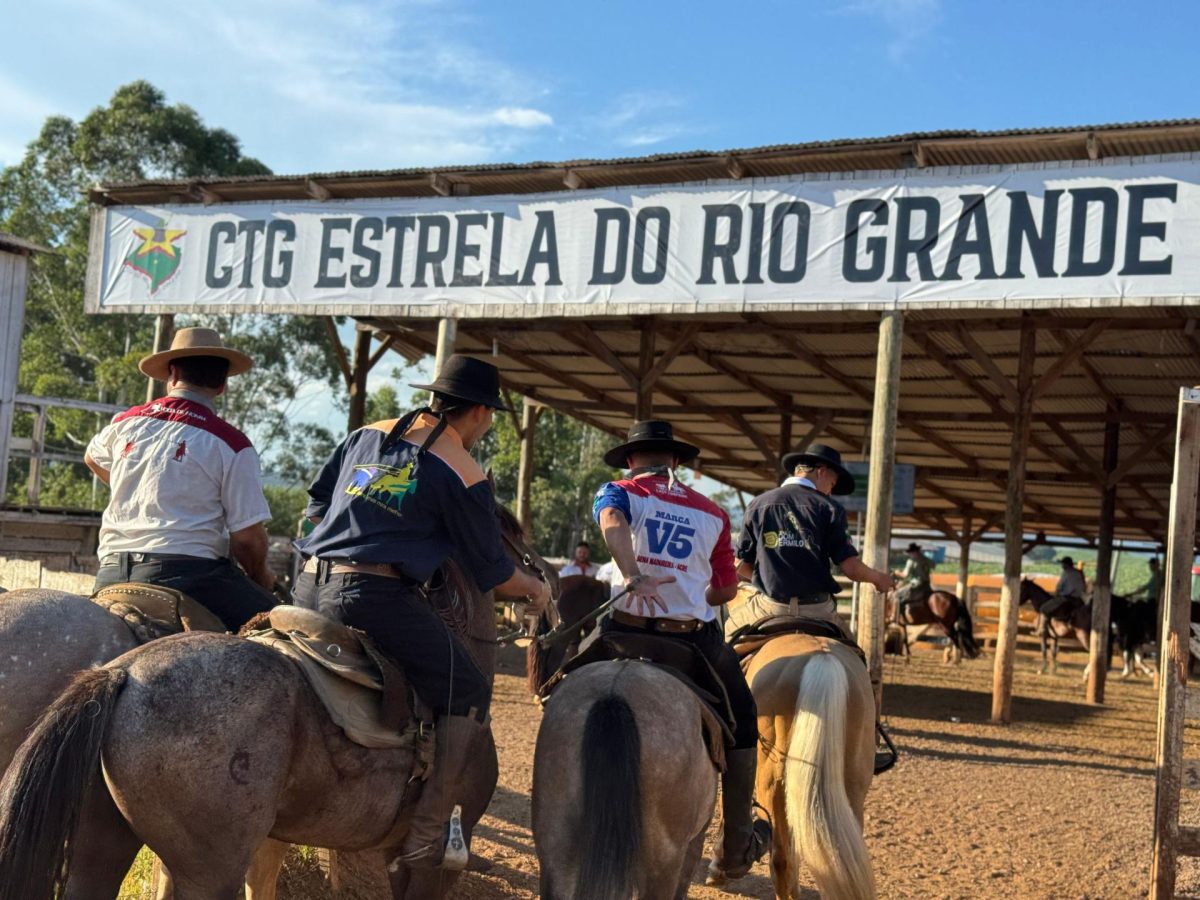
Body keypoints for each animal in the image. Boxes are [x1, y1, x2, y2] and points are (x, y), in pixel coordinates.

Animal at [0, 511, 552, 900]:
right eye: (513, 538)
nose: (545, 581)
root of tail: (122, 673)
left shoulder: (275, 834)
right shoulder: (427, 867)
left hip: (103, 840)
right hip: (208, 871)